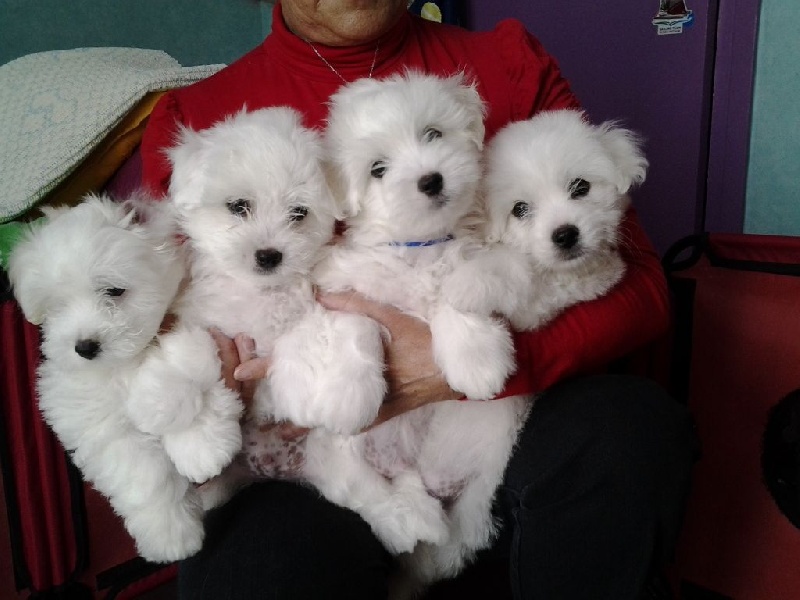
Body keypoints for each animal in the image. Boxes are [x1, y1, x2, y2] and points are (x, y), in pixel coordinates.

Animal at [7, 194, 243, 562]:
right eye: (57, 306)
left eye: (114, 291)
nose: (85, 346)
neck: (128, 361)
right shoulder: (99, 425)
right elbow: (142, 472)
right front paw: (170, 535)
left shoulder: (198, 326)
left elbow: (190, 370)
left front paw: (203, 448)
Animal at [167, 106, 450, 554]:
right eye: (238, 206)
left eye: (298, 214)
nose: (268, 255)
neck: (263, 293)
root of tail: (270, 469)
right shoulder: (203, 318)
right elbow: (194, 356)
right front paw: (198, 446)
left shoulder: (313, 306)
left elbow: (310, 337)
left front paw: (297, 392)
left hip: (331, 456)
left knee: (365, 492)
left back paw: (412, 521)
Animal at [318, 71, 527, 597]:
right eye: (377, 168)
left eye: (432, 134)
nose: (430, 180)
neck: (417, 245)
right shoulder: (343, 282)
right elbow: (357, 322)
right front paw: (348, 392)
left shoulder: (465, 264)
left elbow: (455, 294)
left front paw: (477, 362)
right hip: (331, 453)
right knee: (359, 487)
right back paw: (407, 520)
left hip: (492, 449)